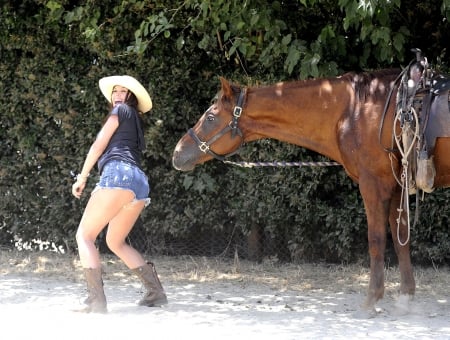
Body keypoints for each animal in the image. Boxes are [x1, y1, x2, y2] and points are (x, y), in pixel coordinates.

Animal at [171, 65, 450, 314]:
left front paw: (372, 300)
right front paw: (406, 298)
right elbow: (402, 239)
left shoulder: (373, 184)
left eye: (210, 117)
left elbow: (376, 240)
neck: (356, 110)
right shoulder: (394, 186)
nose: (178, 153)